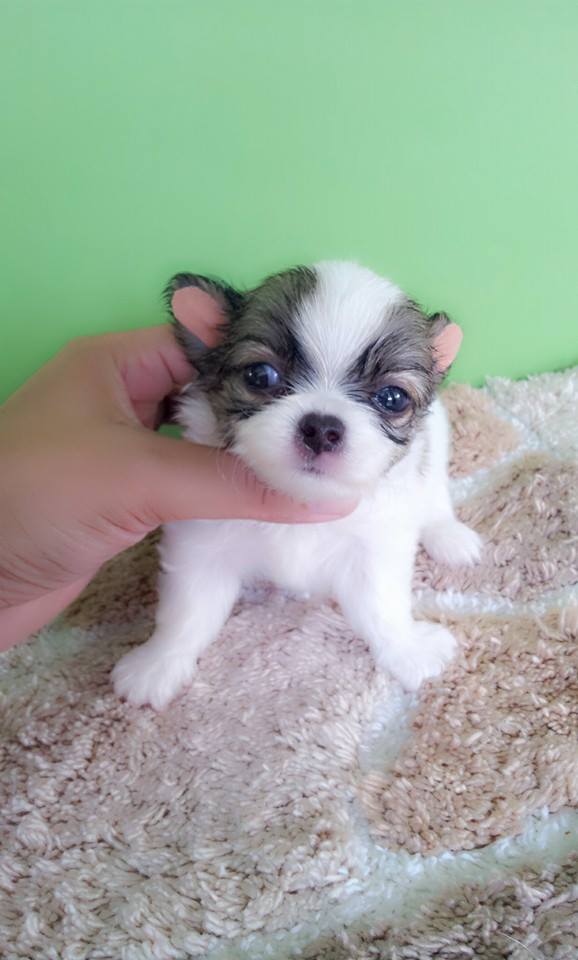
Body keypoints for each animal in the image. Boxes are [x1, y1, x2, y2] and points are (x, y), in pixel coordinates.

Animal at [113, 261, 481, 710]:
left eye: (392, 398)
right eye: (260, 375)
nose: (321, 428)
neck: (300, 500)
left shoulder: (374, 546)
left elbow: (382, 607)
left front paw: (409, 651)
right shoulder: (202, 544)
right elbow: (187, 610)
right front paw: (158, 663)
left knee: (435, 497)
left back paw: (449, 536)